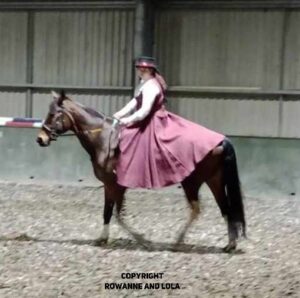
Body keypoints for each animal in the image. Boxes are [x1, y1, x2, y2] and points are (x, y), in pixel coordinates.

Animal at [36, 90, 245, 251]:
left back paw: (178, 242)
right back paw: (230, 244)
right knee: (225, 209)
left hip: (191, 182)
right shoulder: (113, 186)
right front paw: (104, 238)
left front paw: (141, 240)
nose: (40, 139)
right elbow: (111, 213)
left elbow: (115, 214)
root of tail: (221, 140)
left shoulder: (114, 185)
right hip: (214, 180)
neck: (104, 140)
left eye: (54, 114)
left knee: (197, 209)